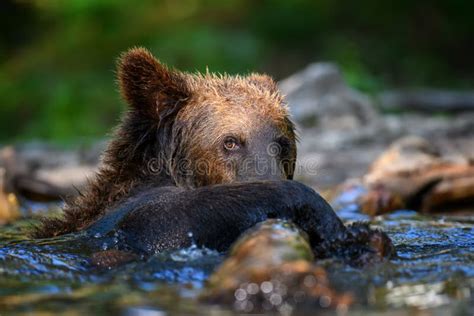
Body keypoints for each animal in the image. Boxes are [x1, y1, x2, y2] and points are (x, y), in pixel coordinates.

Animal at [33, 47, 394, 262]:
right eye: (231, 141)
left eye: (282, 143)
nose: (266, 173)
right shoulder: (133, 218)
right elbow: (173, 219)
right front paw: (351, 232)